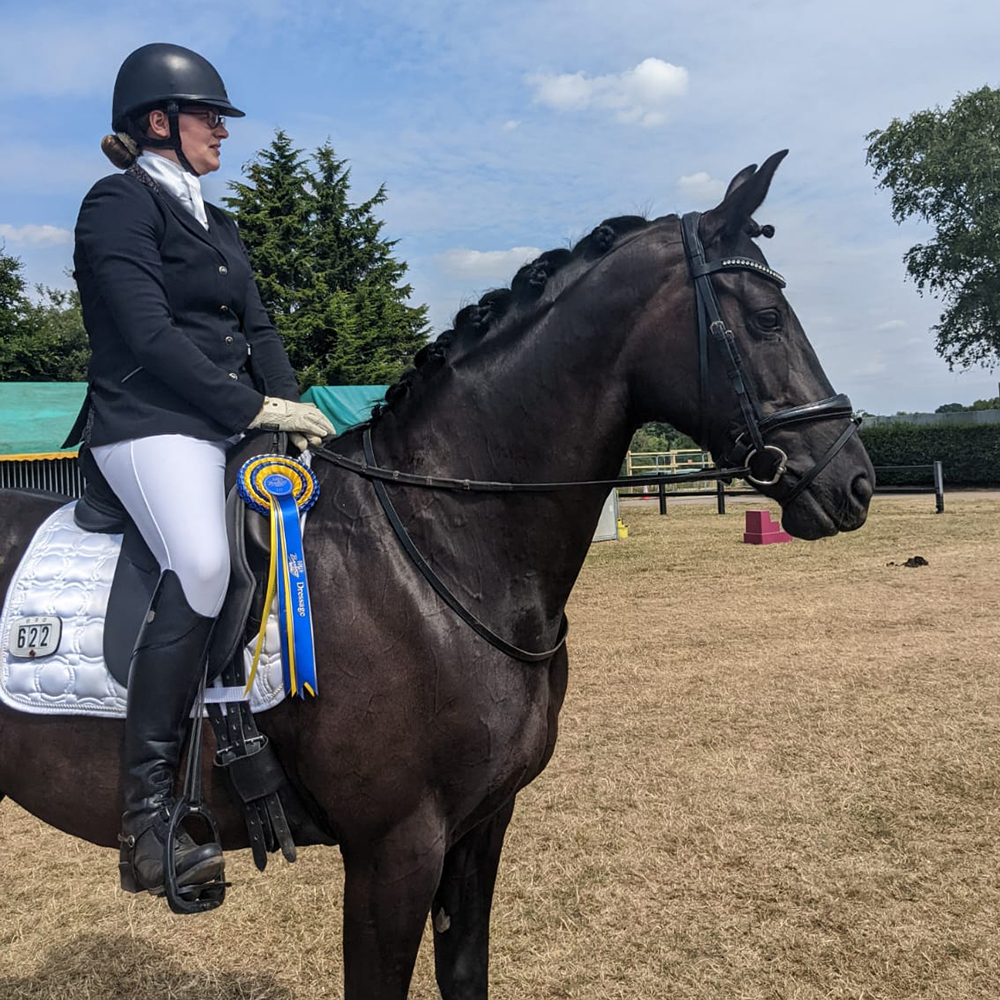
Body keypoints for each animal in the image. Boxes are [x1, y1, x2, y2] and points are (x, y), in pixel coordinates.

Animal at [0, 152, 872, 996]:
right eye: (767, 319)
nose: (854, 481)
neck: (436, 549)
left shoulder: (482, 825)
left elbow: (464, 969)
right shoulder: (395, 849)